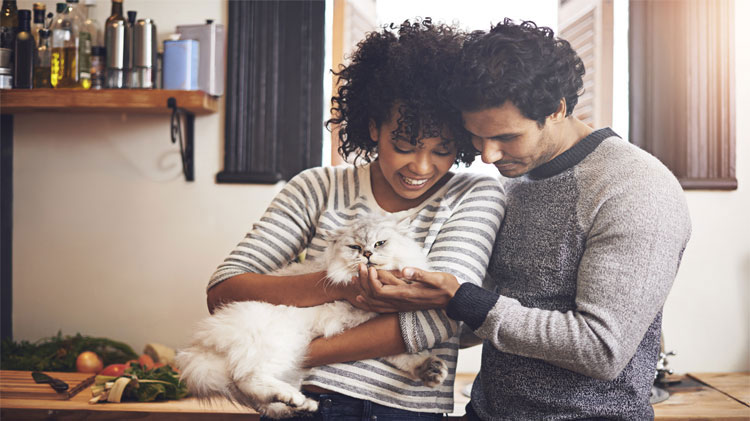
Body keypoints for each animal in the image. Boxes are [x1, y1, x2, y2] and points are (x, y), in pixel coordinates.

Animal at [178, 215, 446, 418]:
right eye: (355, 248)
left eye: (380, 243)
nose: (368, 254)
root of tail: (199, 348)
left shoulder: (375, 327)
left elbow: (403, 356)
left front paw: (430, 370)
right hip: (280, 344)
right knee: (247, 380)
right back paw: (292, 397)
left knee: (260, 400)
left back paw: (301, 404)